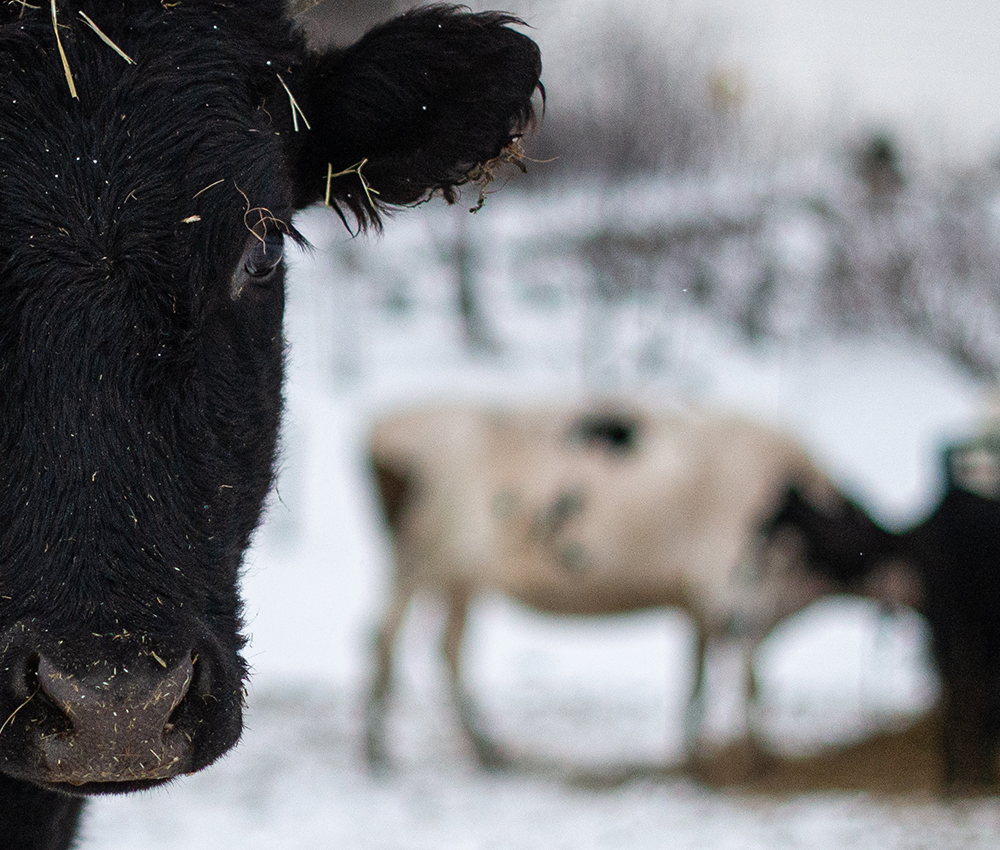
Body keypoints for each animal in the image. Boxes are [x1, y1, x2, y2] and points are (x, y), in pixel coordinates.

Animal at [364, 400, 896, 764]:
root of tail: (387, 425)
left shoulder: (700, 604)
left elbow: (696, 676)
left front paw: (692, 751)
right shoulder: (730, 589)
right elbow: (750, 676)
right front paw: (755, 761)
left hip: (455, 576)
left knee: (443, 649)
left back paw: (483, 751)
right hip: (416, 562)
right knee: (385, 637)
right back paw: (381, 754)